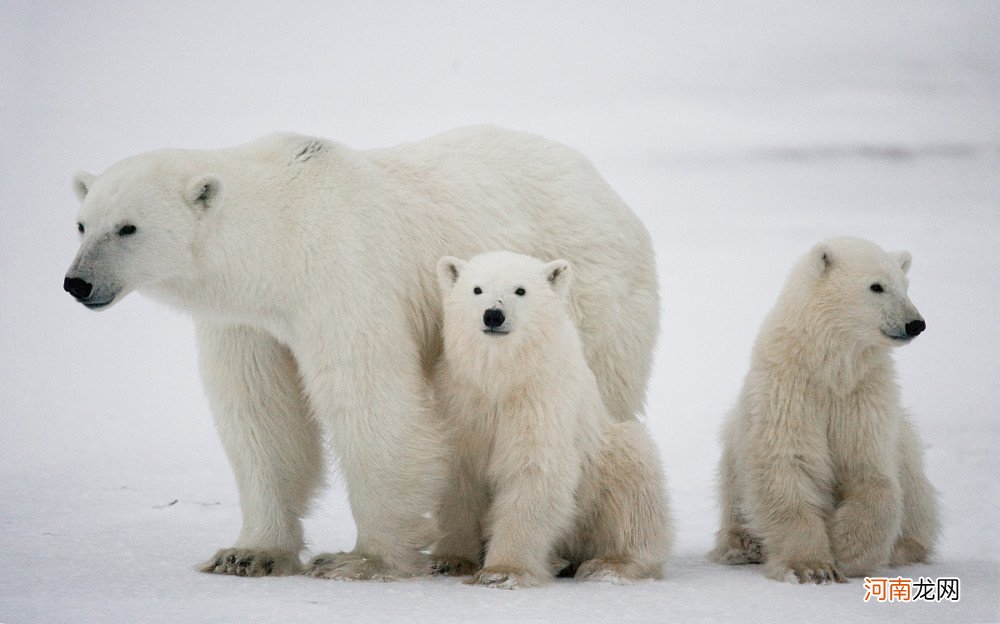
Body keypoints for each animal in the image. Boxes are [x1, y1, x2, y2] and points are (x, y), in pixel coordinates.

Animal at [432, 251, 672, 588]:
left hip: (606, 463)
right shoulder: (461, 401)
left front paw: (503, 571)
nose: (493, 315)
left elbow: (534, 471)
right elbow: (459, 478)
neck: (503, 377)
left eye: (520, 290)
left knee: (634, 493)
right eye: (477, 289)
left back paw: (609, 565)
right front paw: (451, 560)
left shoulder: (542, 400)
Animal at [712, 236, 936, 584]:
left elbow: (871, 474)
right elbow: (789, 466)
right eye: (876, 286)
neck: (830, 370)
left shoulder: (863, 398)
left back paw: (903, 548)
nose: (916, 323)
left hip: (908, 448)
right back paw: (743, 545)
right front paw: (811, 567)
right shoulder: (790, 391)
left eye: (905, 285)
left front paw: (847, 551)